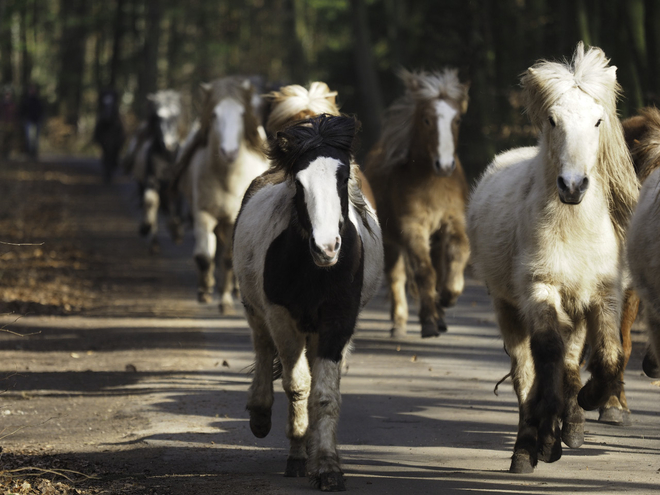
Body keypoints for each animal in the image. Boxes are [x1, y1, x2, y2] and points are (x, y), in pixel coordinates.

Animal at [128, 89, 188, 254]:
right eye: (156, 117)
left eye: (175, 116)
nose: (167, 144)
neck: (168, 157)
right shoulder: (152, 179)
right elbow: (150, 202)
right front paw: (146, 228)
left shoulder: (176, 186)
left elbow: (176, 209)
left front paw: (176, 231)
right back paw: (153, 241)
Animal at [175, 76, 268, 310]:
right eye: (214, 114)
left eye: (242, 114)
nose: (229, 152)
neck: (227, 178)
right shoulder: (203, 213)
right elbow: (203, 256)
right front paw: (205, 290)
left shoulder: (234, 218)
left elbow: (227, 259)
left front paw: (225, 301)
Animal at [235, 116, 384, 492]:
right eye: (299, 184)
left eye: (343, 178)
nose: (326, 247)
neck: (316, 272)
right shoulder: (281, 318)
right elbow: (297, 386)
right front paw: (298, 455)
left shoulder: (338, 322)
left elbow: (324, 393)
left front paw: (328, 465)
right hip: (256, 310)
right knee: (262, 349)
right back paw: (261, 416)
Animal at [364, 68, 472, 340]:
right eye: (426, 120)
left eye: (457, 120)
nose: (444, 165)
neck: (433, 183)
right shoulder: (412, 227)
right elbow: (424, 272)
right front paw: (429, 322)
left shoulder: (454, 221)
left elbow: (457, 254)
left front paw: (448, 297)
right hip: (392, 241)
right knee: (396, 277)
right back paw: (400, 324)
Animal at [464, 43, 640, 476]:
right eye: (552, 119)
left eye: (598, 120)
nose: (572, 186)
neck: (573, 228)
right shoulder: (540, 290)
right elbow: (545, 359)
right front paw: (540, 442)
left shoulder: (603, 294)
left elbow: (609, 355)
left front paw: (591, 401)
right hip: (508, 307)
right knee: (528, 373)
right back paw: (528, 446)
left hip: (574, 310)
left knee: (572, 361)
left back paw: (569, 425)